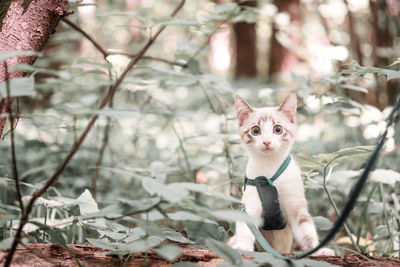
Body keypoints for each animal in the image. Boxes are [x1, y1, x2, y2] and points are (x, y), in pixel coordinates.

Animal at [228, 94, 334, 258]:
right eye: (255, 130)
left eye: (277, 129)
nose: (266, 142)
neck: (270, 168)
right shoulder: (250, 203)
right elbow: (246, 226)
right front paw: (243, 246)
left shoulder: (295, 204)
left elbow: (306, 229)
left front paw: (317, 250)